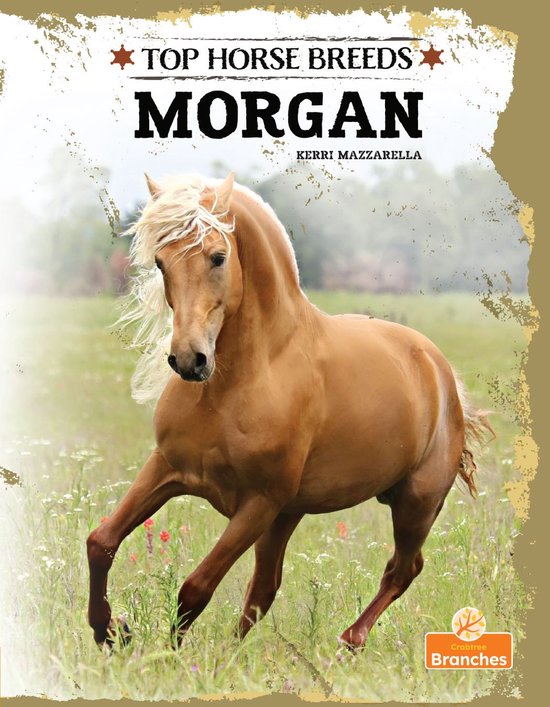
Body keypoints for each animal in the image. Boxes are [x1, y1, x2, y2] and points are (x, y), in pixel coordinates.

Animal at [87, 172, 491, 650]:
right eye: (161, 261)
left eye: (218, 257)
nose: (189, 360)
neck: (234, 385)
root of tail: (439, 369)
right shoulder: (167, 469)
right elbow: (101, 542)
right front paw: (111, 632)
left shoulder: (258, 503)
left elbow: (195, 588)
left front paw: (167, 656)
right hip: (290, 515)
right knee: (266, 588)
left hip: (415, 504)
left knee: (402, 570)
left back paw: (347, 644)